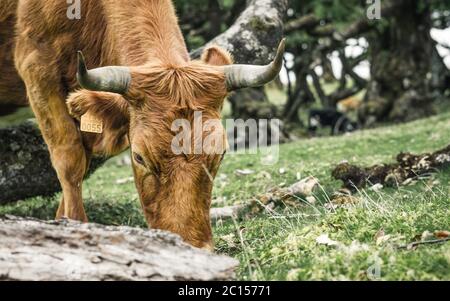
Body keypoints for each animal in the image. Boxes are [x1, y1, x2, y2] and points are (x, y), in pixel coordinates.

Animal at [0, 0, 284, 248]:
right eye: (138, 157)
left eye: (219, 155)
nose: (192, 248)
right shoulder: (36, 68)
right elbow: (69, 160)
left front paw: (61, 222)